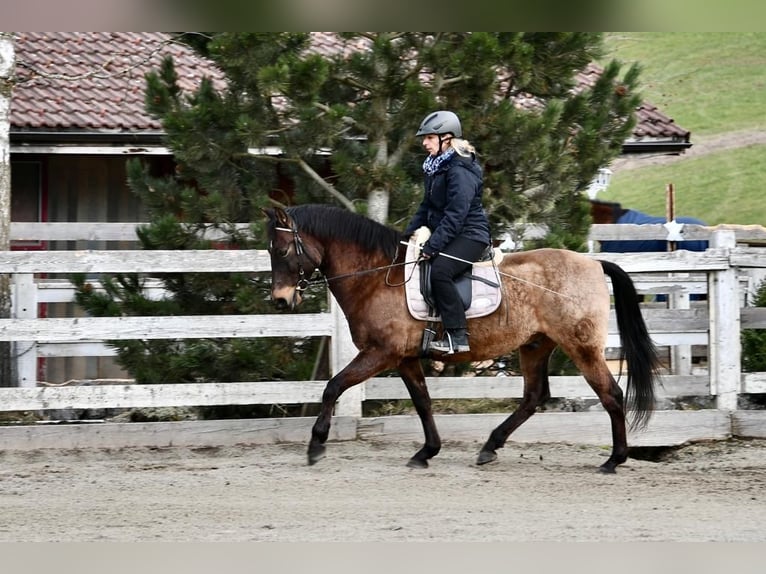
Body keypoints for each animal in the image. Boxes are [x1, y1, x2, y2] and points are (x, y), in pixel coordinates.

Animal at [263, 204, 662, 474]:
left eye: (281, 250)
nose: (281, 301)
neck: (376, 276)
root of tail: (593, 263)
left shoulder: (380, 353)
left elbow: (333, 386)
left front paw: (316, 445)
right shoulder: (405, 358)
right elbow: (423, 402)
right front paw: (426, 452)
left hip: (582, 346)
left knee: (611, 394)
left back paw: (613, 460)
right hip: (535, 345)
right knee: (533, 397)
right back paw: (490, 447)